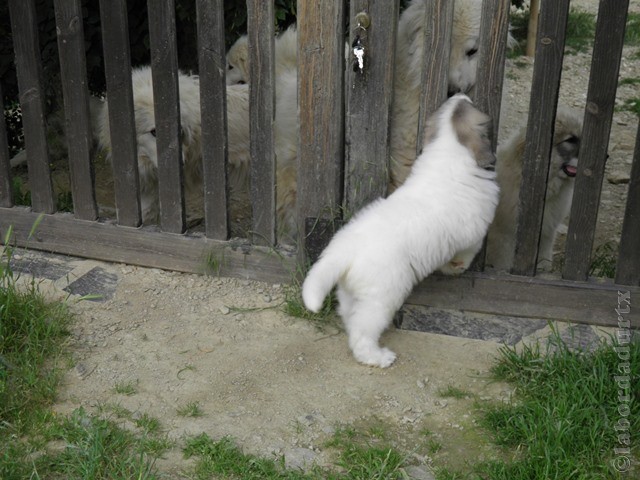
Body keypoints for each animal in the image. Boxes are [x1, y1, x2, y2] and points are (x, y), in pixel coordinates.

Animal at [302, 96, 502, 368]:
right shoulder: (472, 236)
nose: (461, 95)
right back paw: (377, 357)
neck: (449, 149)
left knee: (349, 316)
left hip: (352, 292)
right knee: (361, 333)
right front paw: (456, 269)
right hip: (380, 298)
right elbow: (466, 254)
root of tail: (341, 251)